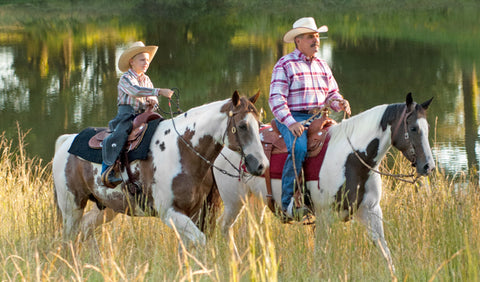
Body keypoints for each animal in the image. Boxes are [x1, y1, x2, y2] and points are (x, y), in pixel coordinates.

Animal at [53, 90, 270, 247]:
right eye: (242, 126)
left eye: (259, 124)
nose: (261, 165)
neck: (183, 150)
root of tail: (67, 140)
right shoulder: (170, 213)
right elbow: (200, 241)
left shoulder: (193, 211)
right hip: (72, 207)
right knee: (69, 238)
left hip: (106, 207)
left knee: (84, 231)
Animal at [214, 93, 436, 270]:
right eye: (413, 128)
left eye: (426, 127)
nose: (429, 166)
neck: (353, 159)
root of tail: (224, 146)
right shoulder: (324, 216)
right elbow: (320, 255)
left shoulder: (371, 210)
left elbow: (384, 251)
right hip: (234, 201)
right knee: (224, 227)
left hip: (253, 202)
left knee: (250, 232)